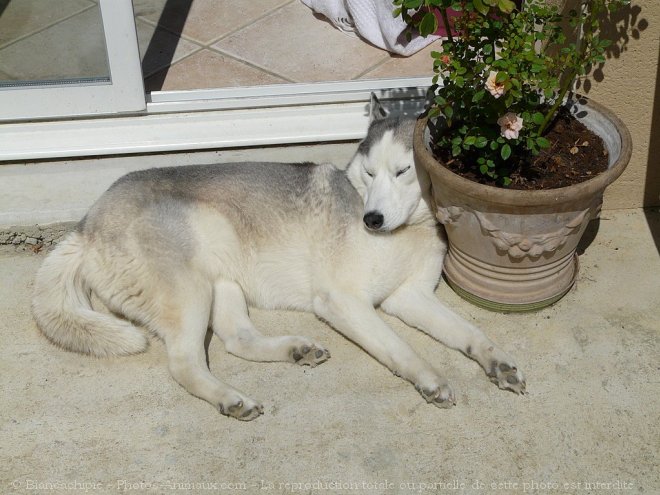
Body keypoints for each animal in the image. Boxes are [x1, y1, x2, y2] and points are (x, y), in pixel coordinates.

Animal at [32, 95, 524, 420]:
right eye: (369, 173)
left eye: (403, 171)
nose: (371, 219)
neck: (407, 230)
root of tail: (86, 223)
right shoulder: (343, 302)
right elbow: (401, 347)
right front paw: (430, 378)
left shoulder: (410, 297)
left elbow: (470, 332)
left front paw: (497, 362)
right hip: (190, 289)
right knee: (184, 362)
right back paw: (230, 398)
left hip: (222, 283)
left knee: (236, 339)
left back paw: (294, 349)